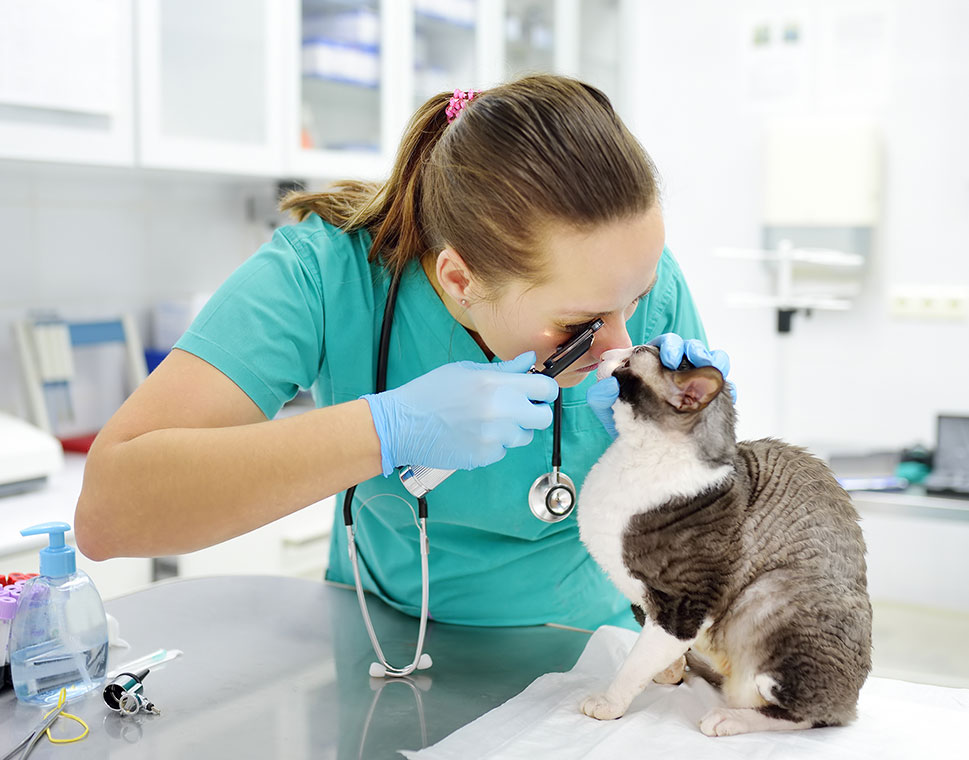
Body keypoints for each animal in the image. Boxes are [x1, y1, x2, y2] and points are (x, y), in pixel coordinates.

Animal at [576, 344, 868, 736]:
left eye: (631, 358)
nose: (609, 349)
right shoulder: (645, 600)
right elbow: (650, 648)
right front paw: (669, 671)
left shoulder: (683, 605)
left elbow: (636, 663)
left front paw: (609, 702)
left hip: (770, 594)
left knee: (809, 715)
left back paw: (730, 718)